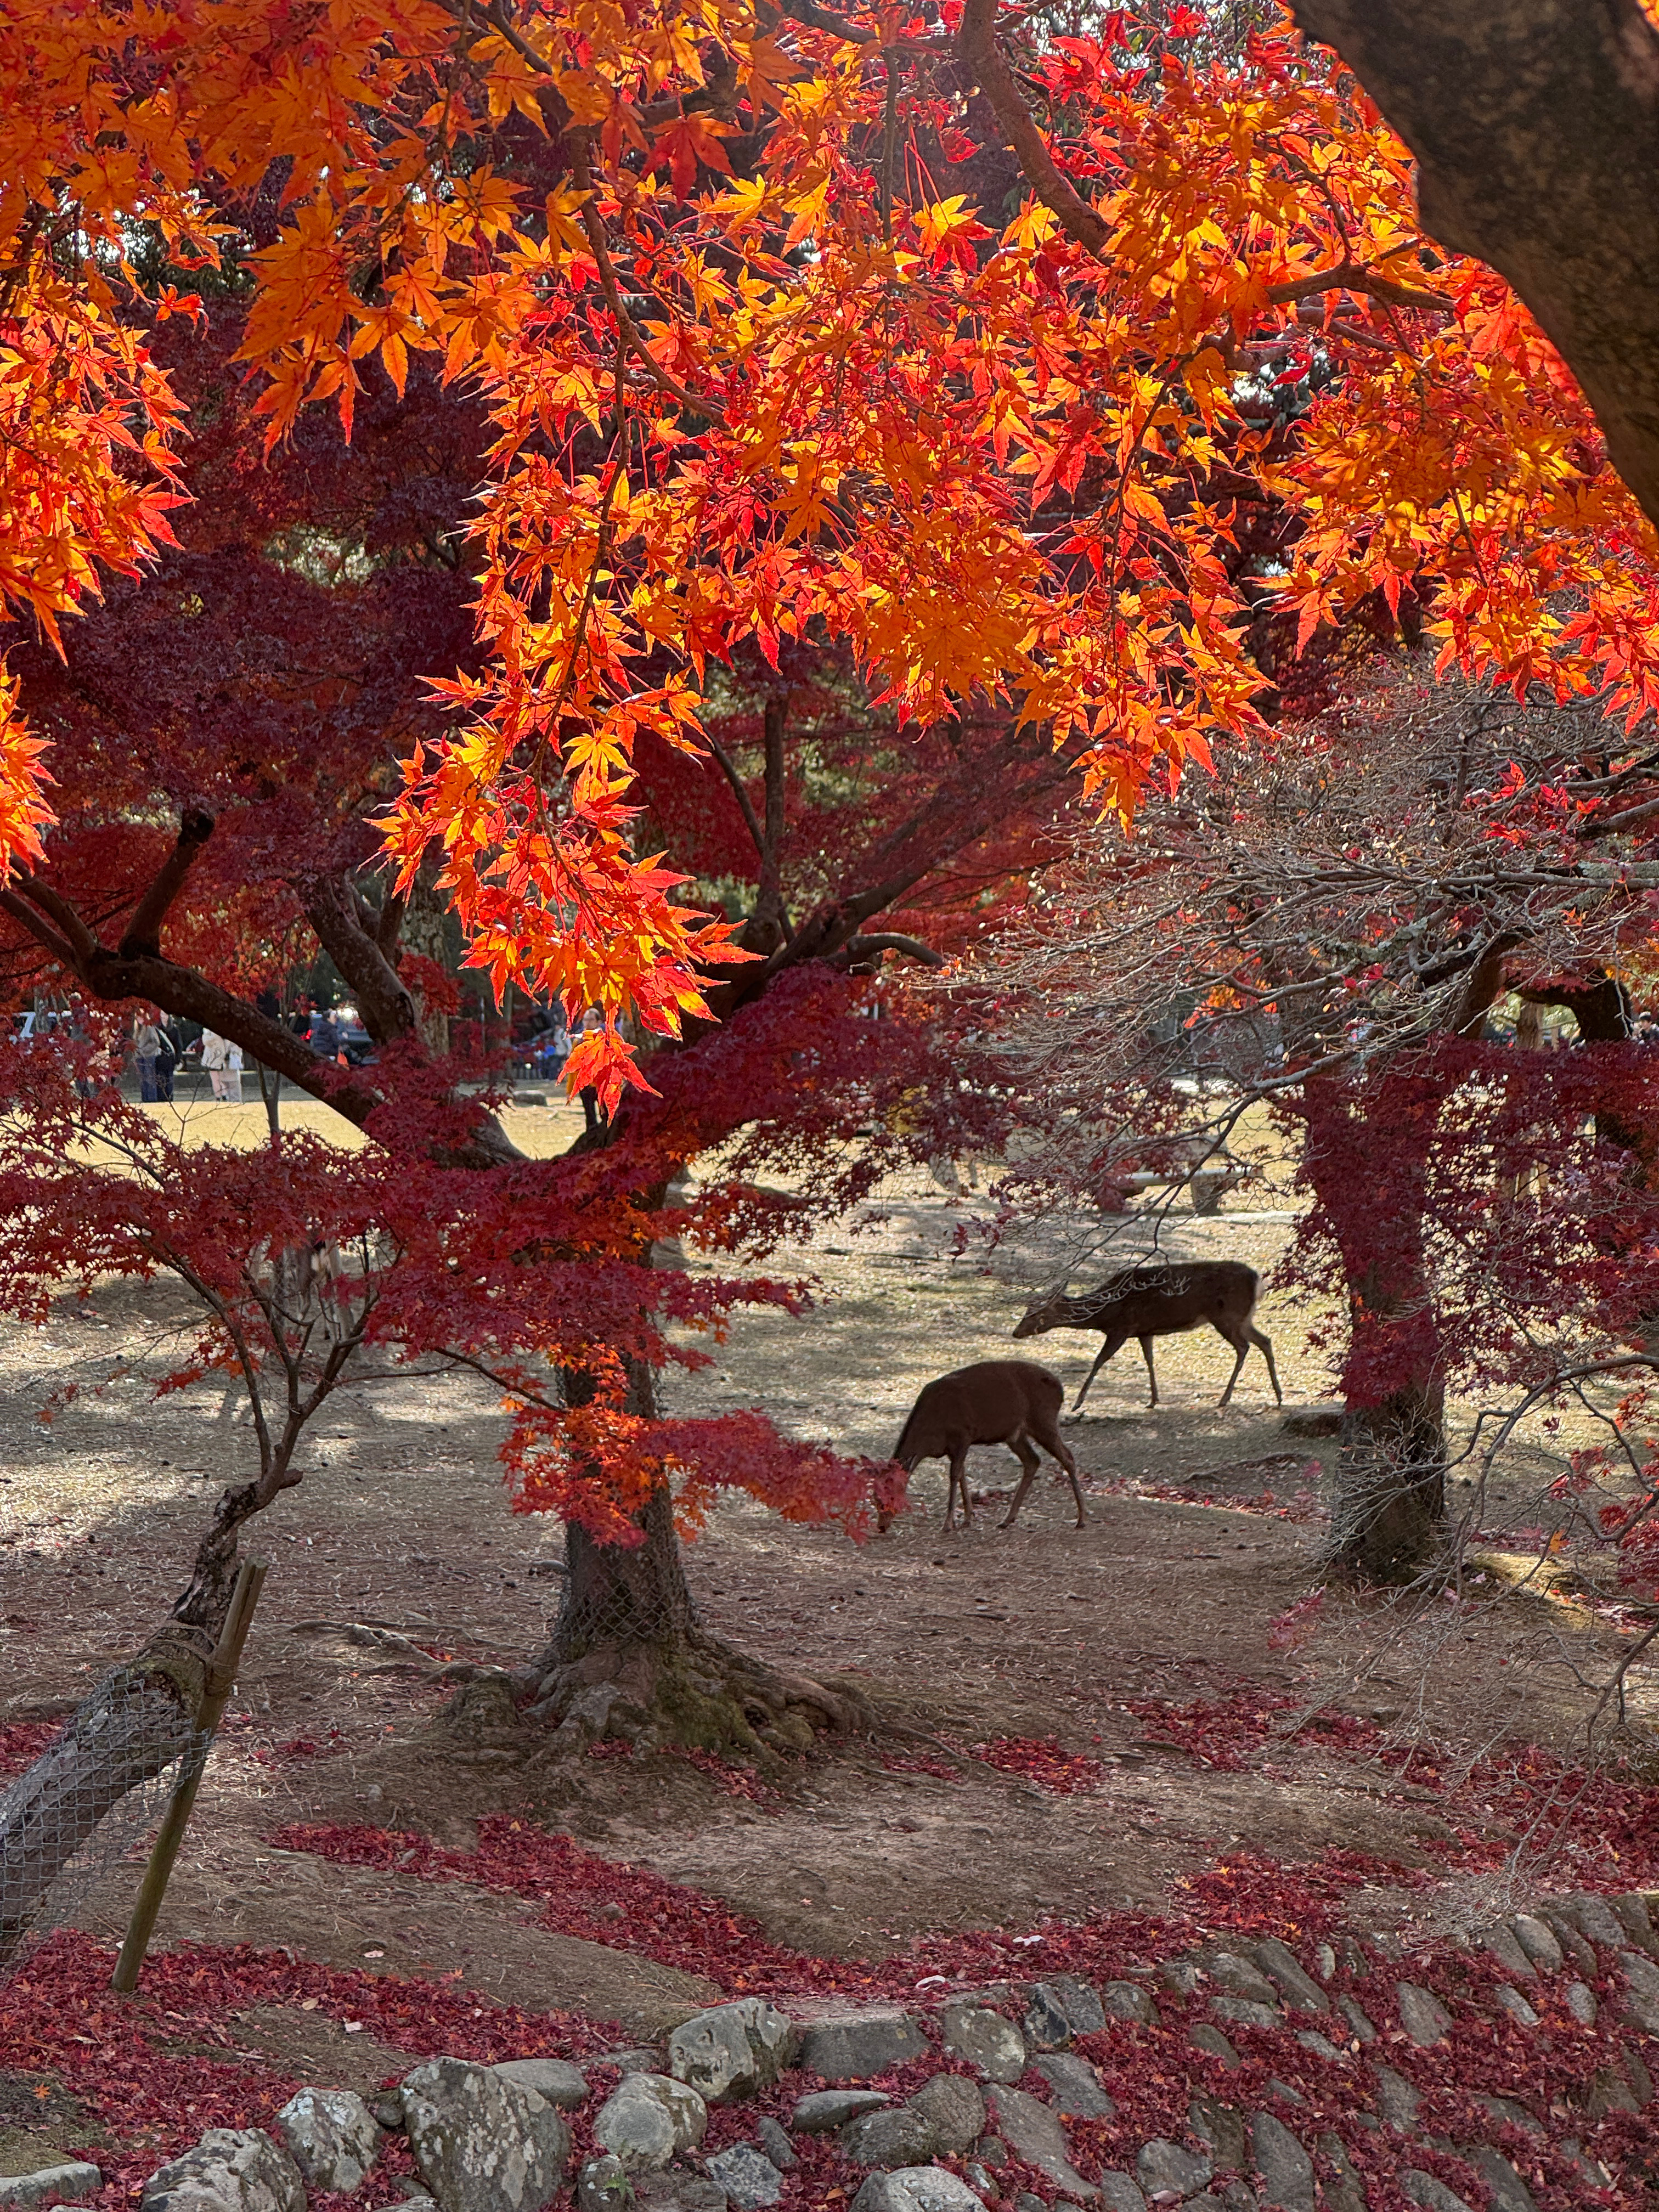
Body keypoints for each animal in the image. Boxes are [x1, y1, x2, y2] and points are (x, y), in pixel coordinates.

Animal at [889, 1353, 1084, 1531]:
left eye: (892, 1492)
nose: (884, 1523)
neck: (930, 1440)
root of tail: (1061, 1390)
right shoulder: (953, 1447)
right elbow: (962, 1475)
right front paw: (967, 1519)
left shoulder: (963, 1435)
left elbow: (955, 1475)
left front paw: (949, 1524)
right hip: (1016, 1434)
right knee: (1033, 1460)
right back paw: (1007, 1520)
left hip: (1043, 1420)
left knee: (1068, 1456)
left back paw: (1081, 1519)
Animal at [1013, 1274, 1283, 1407]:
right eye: (1026, 1310)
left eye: (1034, 1313)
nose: (1016, 1332)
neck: (1103, 1314)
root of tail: (1258, 1282)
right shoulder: (1144, 1331)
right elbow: (1150, 1360)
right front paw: (1154, 1399)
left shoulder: (1121, 1329)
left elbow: (1099, 1360)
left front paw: (1077, 1404)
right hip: (1242, 1318)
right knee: (1265, 1341)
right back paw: (1278, 1395)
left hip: (1227, 1316)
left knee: (1244, 1346)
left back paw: (1225, 1398)